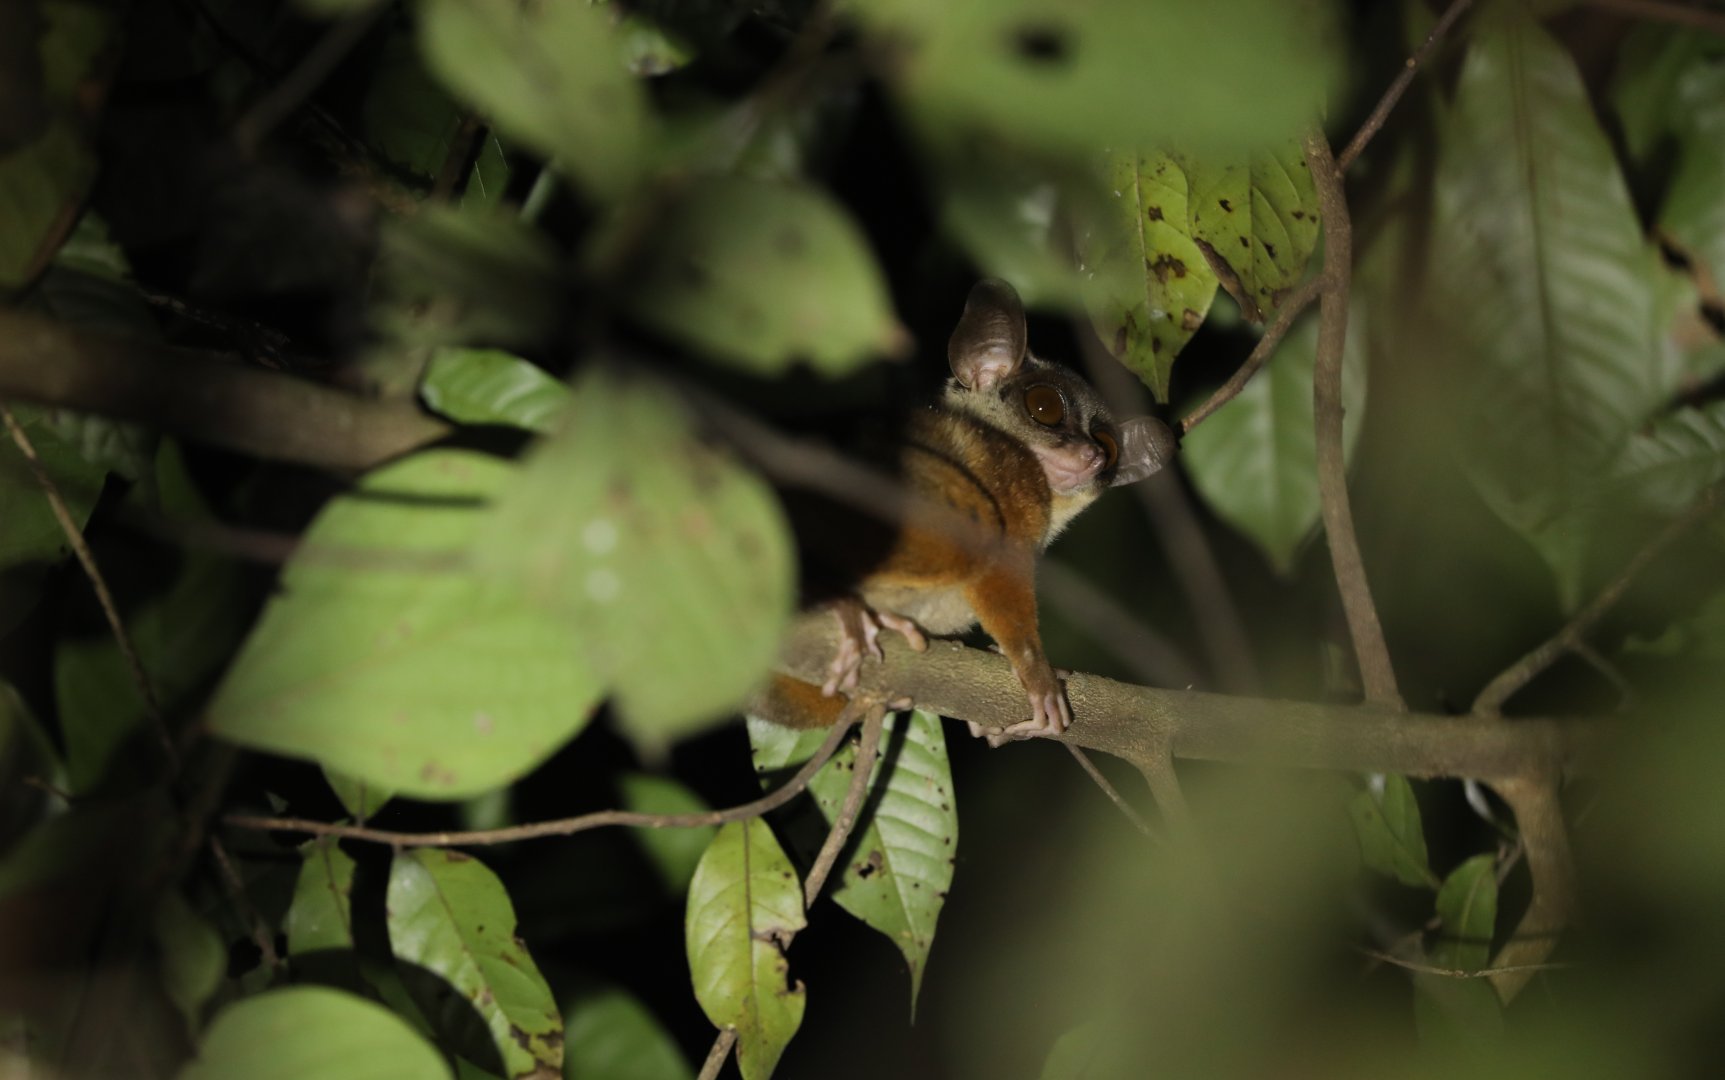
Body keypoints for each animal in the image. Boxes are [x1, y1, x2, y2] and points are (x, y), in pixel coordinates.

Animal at [762, 278, 1177, 743]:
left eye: (1108, 448)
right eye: (1044, 407)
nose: (1092, 455)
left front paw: (992, 721)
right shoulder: (1014, 477)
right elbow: (1001, 575)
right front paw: (1038, 675)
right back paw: (834, 601)